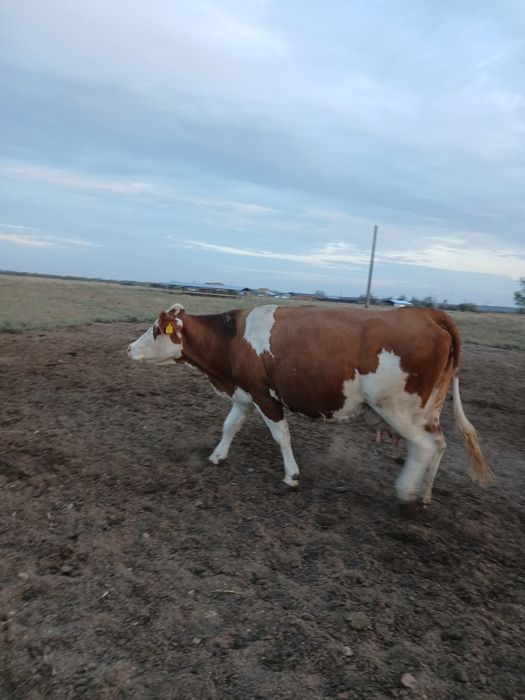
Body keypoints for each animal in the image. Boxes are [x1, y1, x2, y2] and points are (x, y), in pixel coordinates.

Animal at [127, 303, 493, 508]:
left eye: (156, 329)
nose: (130, 348)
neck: (232, 340)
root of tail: (428, 313)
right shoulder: (244, 394)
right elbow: (230, 425)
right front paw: (218, 455)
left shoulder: (264, 395)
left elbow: (281, 436)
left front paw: (291, 475)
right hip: (428, 408)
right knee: (439, 444)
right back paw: (425, 494)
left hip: (399, 409)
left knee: (425, 446)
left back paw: (405, 492)